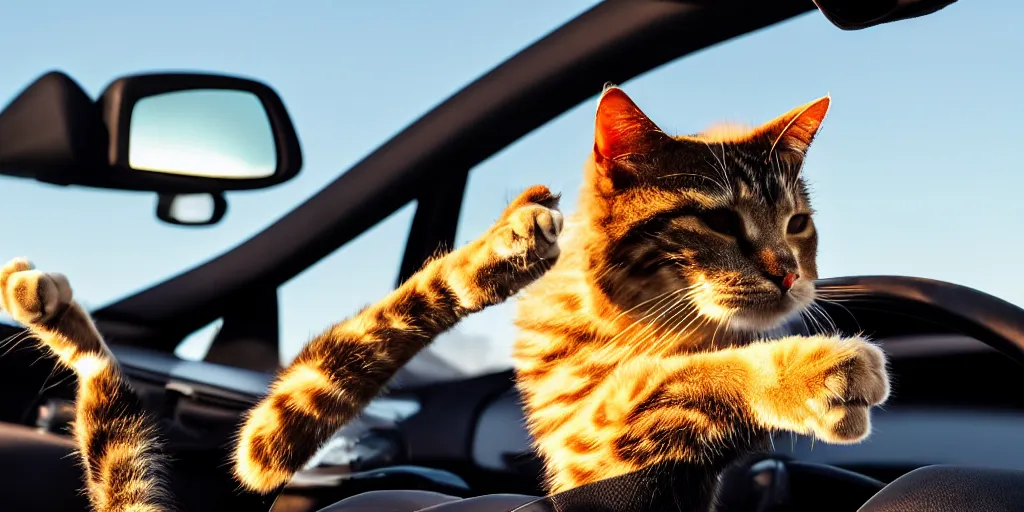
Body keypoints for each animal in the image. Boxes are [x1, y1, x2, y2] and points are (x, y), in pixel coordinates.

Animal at [516, 86, 892, 501]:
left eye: (797, 224)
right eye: (719, 221)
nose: (789, 274)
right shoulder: (587, 445)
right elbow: (681, 377)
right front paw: (804, 370)